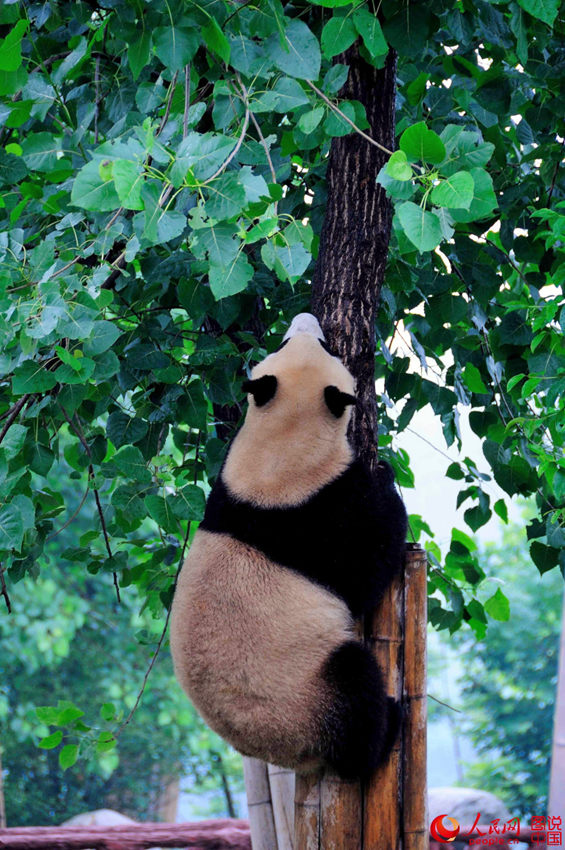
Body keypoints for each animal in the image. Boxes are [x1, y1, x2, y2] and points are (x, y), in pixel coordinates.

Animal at [170, 312, 408, 776]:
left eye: (281, 343)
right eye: (328, 347)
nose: (305, 318)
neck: (279, 448)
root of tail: (285, 755)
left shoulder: (225, 488)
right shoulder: (315, 519)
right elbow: (365, 569)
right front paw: (385, 478)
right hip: (304, 689)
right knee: (353, 687)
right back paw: (384, 730)